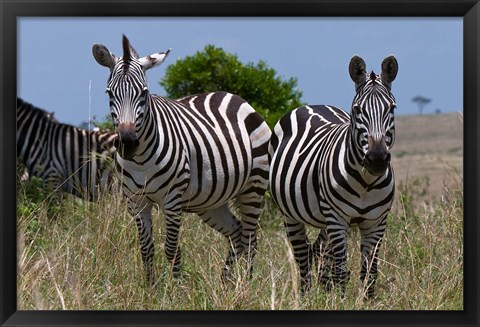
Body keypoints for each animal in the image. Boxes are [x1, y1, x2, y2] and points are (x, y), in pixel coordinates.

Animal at [90, 36, 270, 286]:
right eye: (109, 93)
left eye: (144, 93)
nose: (128, 144)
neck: (141, 161)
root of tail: (233, 96)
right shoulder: (136, 201)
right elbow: (146, 249)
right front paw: (151, 289)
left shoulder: (172, 199)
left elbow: (172, 249)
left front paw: (176, 289)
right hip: (211, 201)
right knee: (237, 233)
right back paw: (226, 284)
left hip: (254, 186)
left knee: (251, 238)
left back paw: (247, 285)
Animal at [270, 55, 398, 298]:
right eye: (357, 109)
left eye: (392, 108)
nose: (377, 159)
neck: (366, 184)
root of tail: (313, 105)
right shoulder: (338, 219)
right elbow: (340, 269)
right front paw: (340, 300)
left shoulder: (377, 222)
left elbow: (370, 273)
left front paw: (366, 301)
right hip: (291, 214)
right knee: (302, 254)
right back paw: (307, 296)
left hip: (324, 219)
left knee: (318, 250)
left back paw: (323, 290)